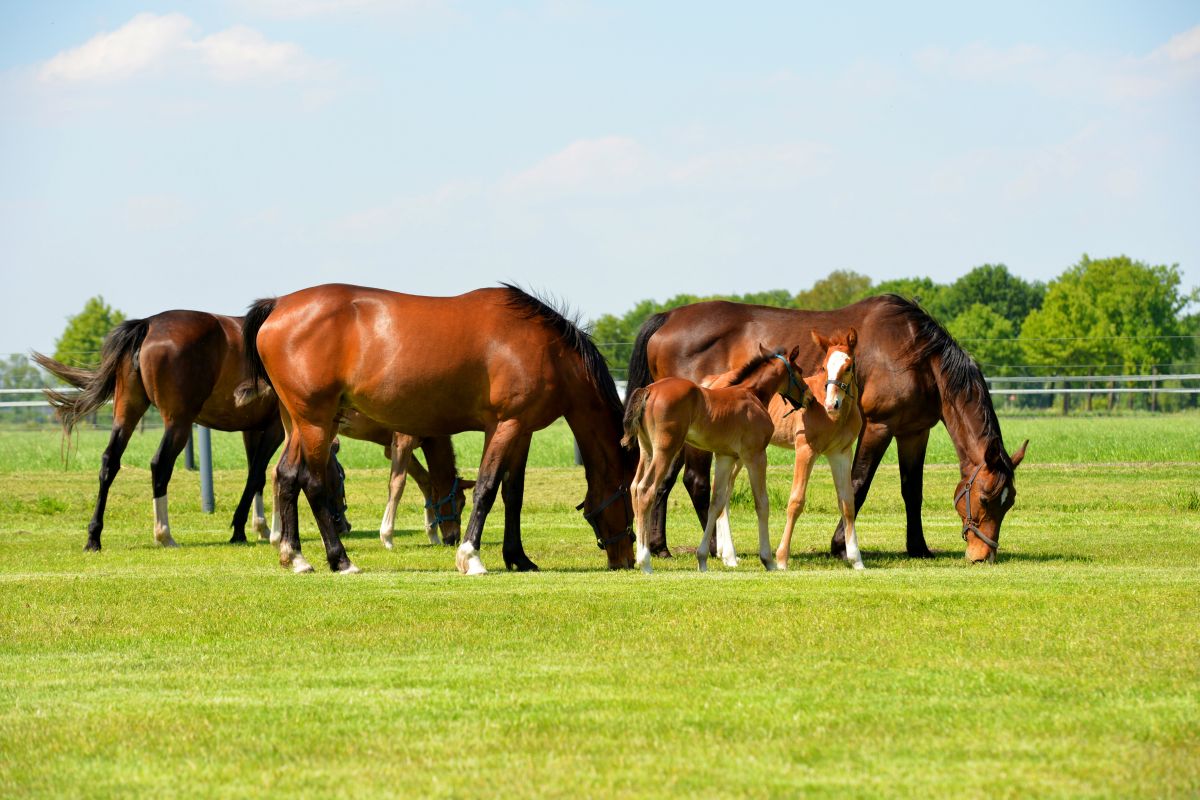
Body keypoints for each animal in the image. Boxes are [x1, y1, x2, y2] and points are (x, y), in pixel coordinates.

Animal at [31, 311, 348, 551]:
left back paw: (94, 537)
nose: (345, 524)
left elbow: (255, 475)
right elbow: (259, 474)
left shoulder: (253, 430)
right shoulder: (274, 430)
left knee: (110, 463)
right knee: (159, 465)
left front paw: (259, 527)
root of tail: (148, 324)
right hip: (178, 422)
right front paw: (244, 530)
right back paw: (164, 535)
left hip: (127, 412)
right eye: (342, 475)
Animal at [237, 284, 643, 573]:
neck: (549, 350)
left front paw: (519, 558)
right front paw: (470, 556)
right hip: (316, 423)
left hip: (298, 423)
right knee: (313, 482)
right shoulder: (504, 425)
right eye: (627, 494)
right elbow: (487, 487)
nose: (624, 558)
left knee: (287, 476)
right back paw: (340, 560)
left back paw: (295, 557)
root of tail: (277, 305)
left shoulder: (522, 429)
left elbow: (513, 493)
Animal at [624, 347, 811, 573]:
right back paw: (645, 562)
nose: (810, 397)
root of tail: (648, 390)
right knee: (646, 490)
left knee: (634, 487)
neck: (752, 395)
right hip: (665, 450)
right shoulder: (755, 455)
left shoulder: (725, 457)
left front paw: (702, 559)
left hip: (647, 450)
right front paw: (768, 560)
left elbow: (717, 503)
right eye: (799, 370)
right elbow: (762, 503)